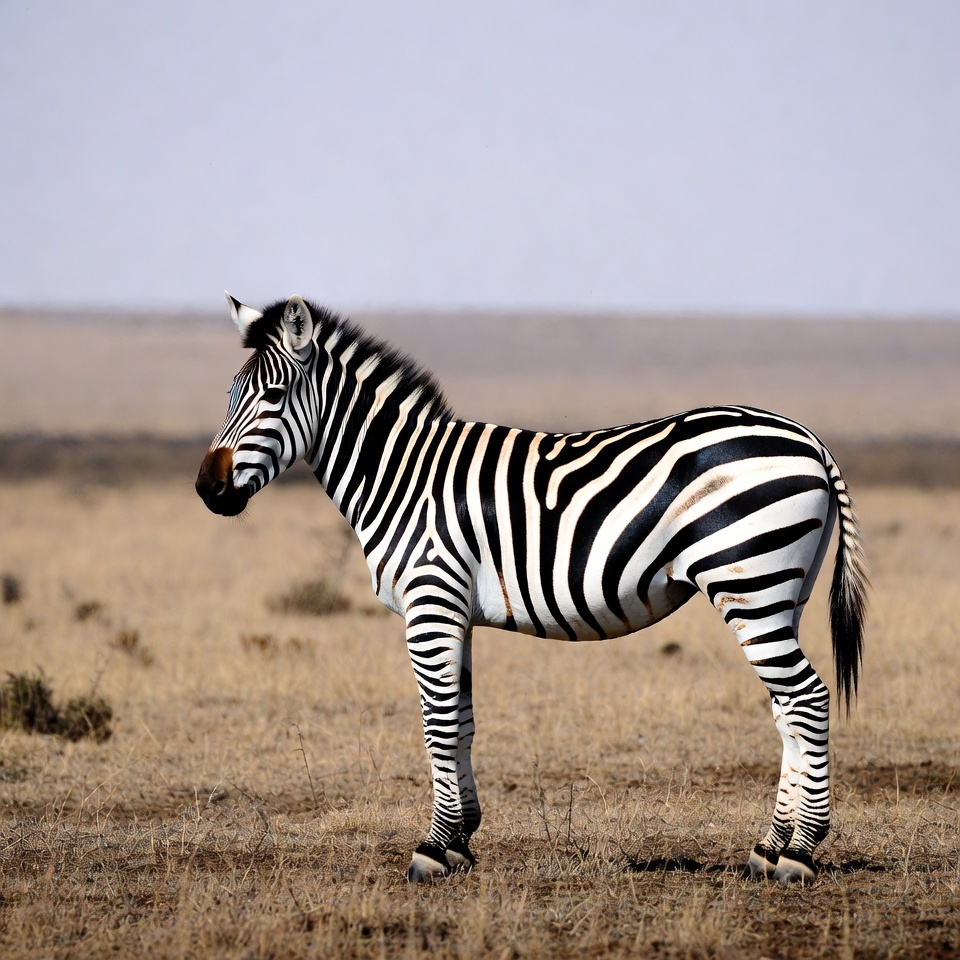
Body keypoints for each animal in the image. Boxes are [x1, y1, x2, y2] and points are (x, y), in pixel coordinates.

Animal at [196, 293, 868, 885]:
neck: (402, 474)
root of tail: (809, 438)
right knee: (787, 709)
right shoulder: (453, 611)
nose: (207, 488)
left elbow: (436, 724)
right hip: (781, 594)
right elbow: (462, 721)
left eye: (273, 396)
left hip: (749, 582)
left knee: (807, 699)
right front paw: (460, 841)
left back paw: (799, 855)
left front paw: (433, 850)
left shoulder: (430, 600)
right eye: (229, 396)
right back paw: (767, 848)